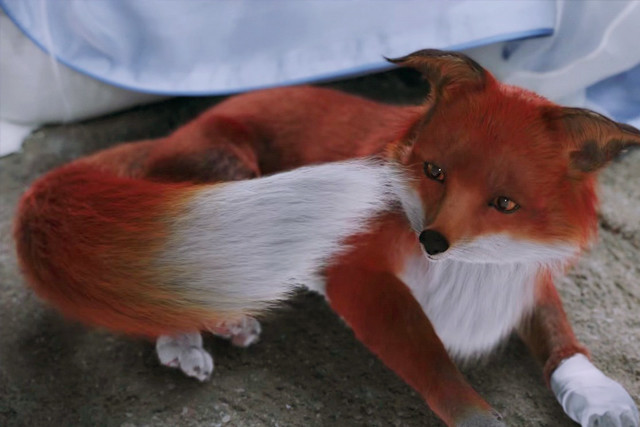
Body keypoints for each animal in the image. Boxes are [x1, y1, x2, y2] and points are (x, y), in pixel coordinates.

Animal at [12, 51, 636, 427]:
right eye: (434, 171)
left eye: (505, 203)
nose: (430, 242)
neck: (473, 268)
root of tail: (168, 137)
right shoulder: (358, 274)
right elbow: (436, 367)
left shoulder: (525, 276)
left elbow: (562, 340)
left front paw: (599, 395)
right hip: (236, 189)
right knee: (159, 278)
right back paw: (191, 337)